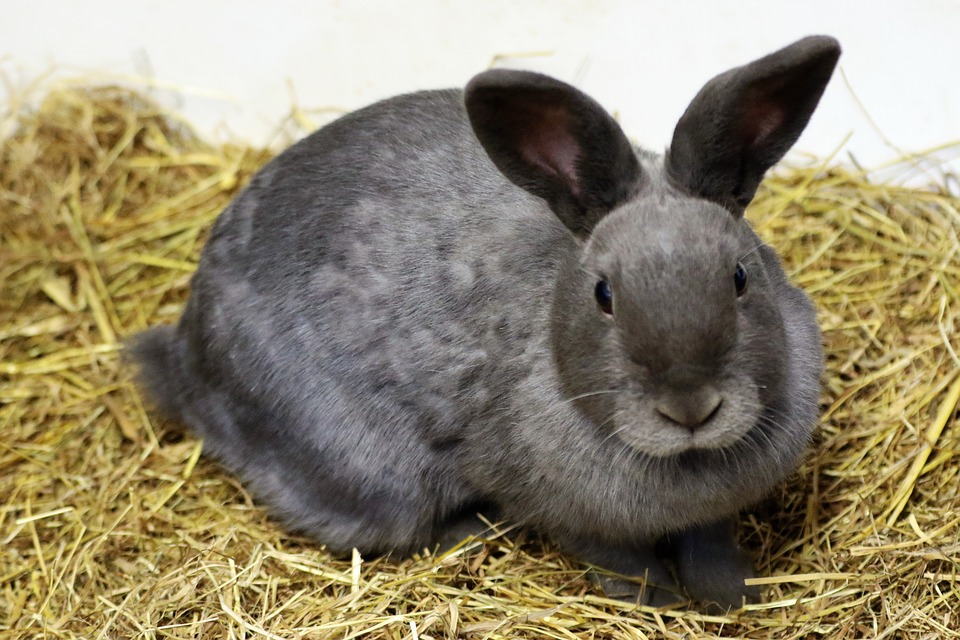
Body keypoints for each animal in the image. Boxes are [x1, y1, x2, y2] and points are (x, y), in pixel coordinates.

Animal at [130, 35, 839, 610]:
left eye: (740, 278)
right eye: (604, 295)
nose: (690, 407)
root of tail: (186, 354)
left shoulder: (712, 515)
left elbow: (708, 544)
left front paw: (732, 598)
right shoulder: (565, 513)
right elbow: (621, 560)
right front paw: (659, 604)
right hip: (370, 475)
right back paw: (475, 532)